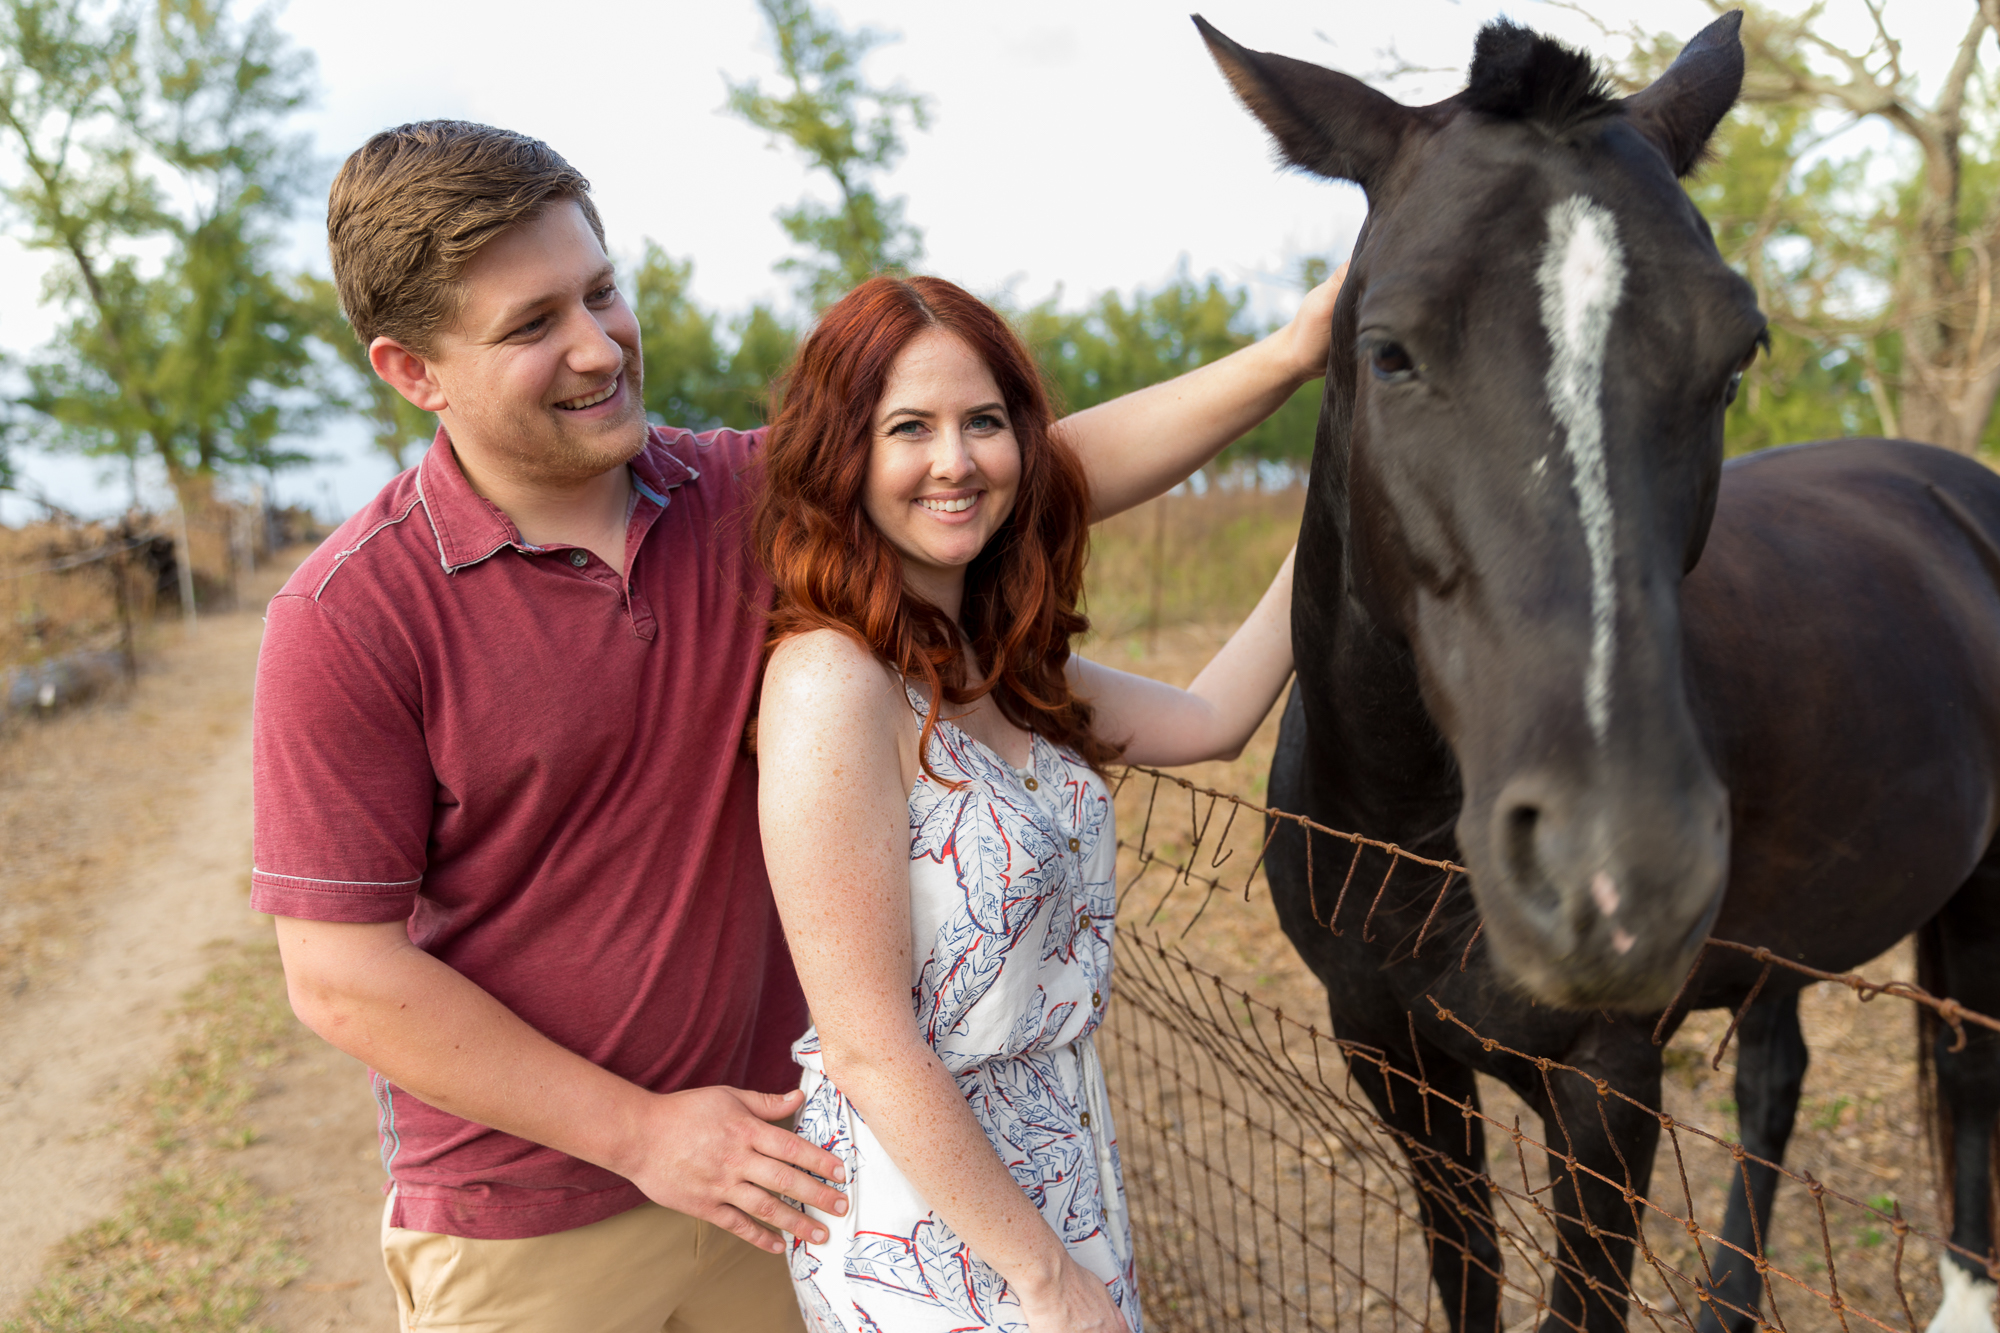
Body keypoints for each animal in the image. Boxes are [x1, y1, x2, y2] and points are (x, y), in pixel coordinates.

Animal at [1200, 13, 2000, 1328]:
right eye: (1386, 352)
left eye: (1736, 356)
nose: (1618, 874)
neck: (1412, 847)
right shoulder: (1390, 1058)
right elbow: (1467, 1275)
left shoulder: (1603, 1091)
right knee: (1777, 1075)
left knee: (1967, 1066)